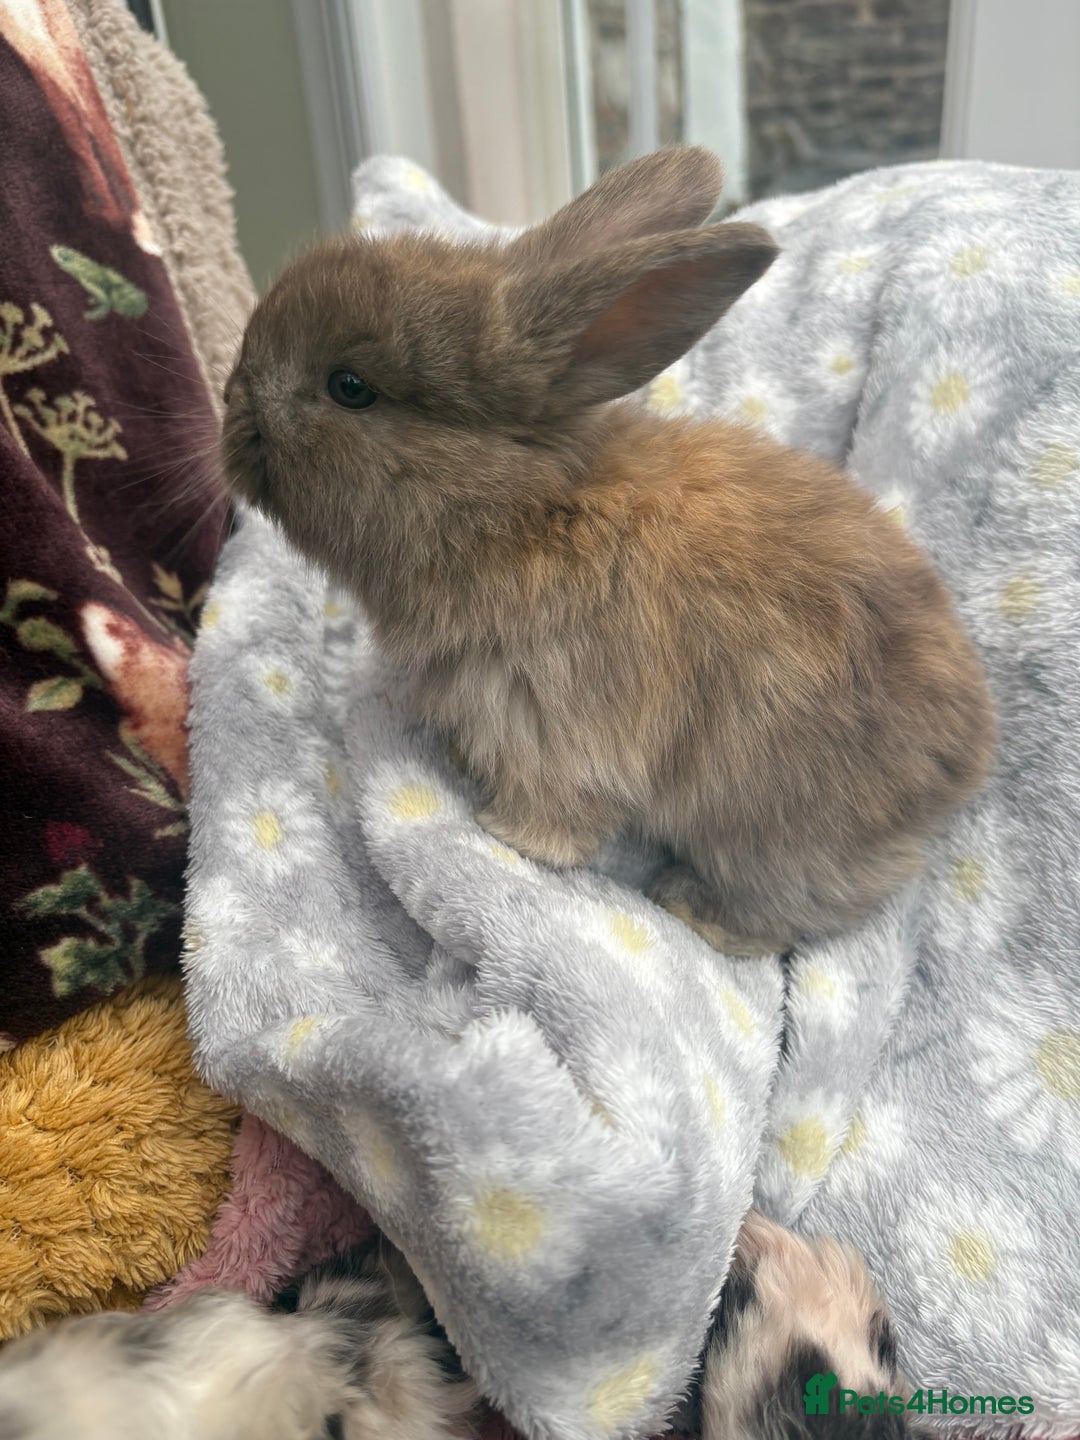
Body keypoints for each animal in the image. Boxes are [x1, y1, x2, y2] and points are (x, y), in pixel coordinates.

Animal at [221, 145, 995, 956]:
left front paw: (503, 834)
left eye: (349, 387)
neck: (518, 509)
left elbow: (558, 812)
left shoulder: (550, 717)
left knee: (800, 912)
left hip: (773, 830)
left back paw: (690, 907)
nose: (231, 400)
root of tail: (964, 764)